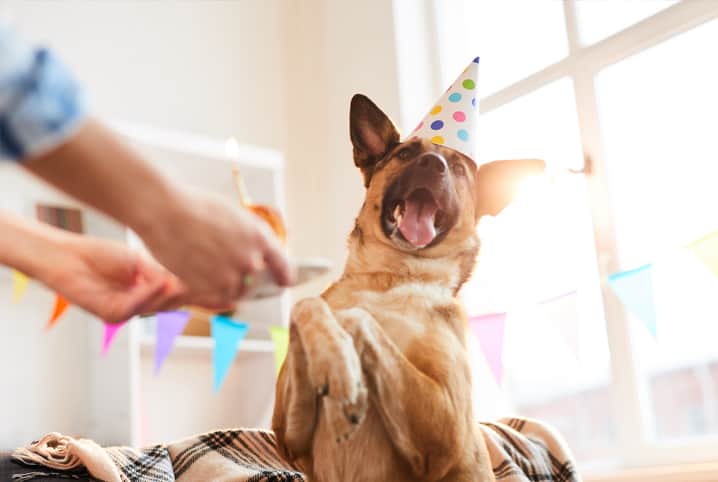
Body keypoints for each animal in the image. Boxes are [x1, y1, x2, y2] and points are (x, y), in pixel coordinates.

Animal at [272, 94, 544, 482]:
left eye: (458, 168)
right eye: (406, 154)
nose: (433, 164)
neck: (393, 276)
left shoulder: (446, 427)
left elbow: (358, 316)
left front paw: (343, 363)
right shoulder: (288, 435)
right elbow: (307, 305)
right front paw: (334, 359)